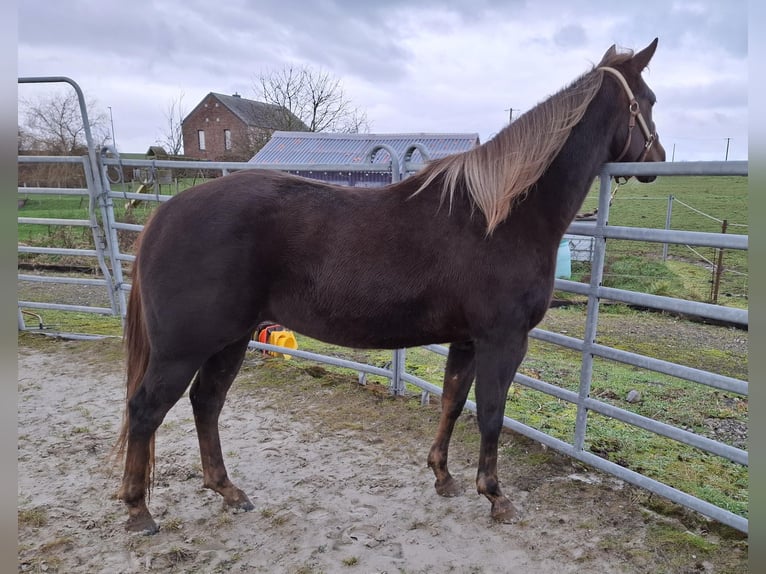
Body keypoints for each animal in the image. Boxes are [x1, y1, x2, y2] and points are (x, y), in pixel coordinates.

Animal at [114, 40, 664, 536]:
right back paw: (139, 511)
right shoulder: (503, 339)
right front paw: (495, 496)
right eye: (651, 99)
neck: (501, 216)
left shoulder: (467, 340)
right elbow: (491, 413)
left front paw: (443, 477)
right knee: (146, 409)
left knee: (206, 403)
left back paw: (227, 490)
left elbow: (452, 402)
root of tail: (165, 215)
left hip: (230, 340)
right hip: (185, 348)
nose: (656, 158)